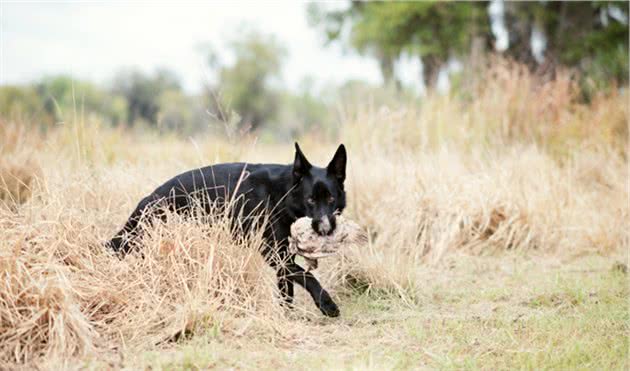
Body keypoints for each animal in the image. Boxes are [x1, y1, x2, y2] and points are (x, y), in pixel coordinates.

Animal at [106, 142, 348, 316]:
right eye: (310, 200)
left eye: (331, 198)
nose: (325, 229)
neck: (283, 194)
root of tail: (149, 198)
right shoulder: (273, 254)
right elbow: (307, 275)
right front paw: (327, 304)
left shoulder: (283, 257)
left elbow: (287, 288)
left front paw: (286, 316)